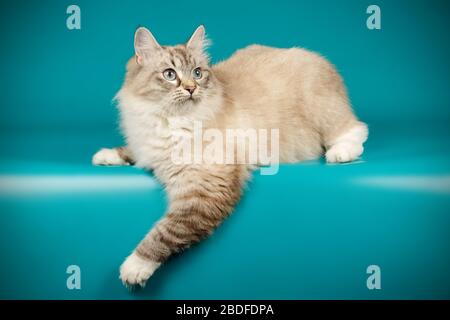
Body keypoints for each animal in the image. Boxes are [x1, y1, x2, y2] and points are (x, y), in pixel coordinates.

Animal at [93, 25, 368, 288]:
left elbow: (165, 233)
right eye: (170, 74)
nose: (191, 89)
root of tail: (319, 59)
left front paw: (134, 268)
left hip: (324, 112)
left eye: (197, 73)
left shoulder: (204, 189)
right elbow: (131, 152)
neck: (169, 121)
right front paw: (106, 156)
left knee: (355, 130)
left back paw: (340, 153)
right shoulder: (147, 147)